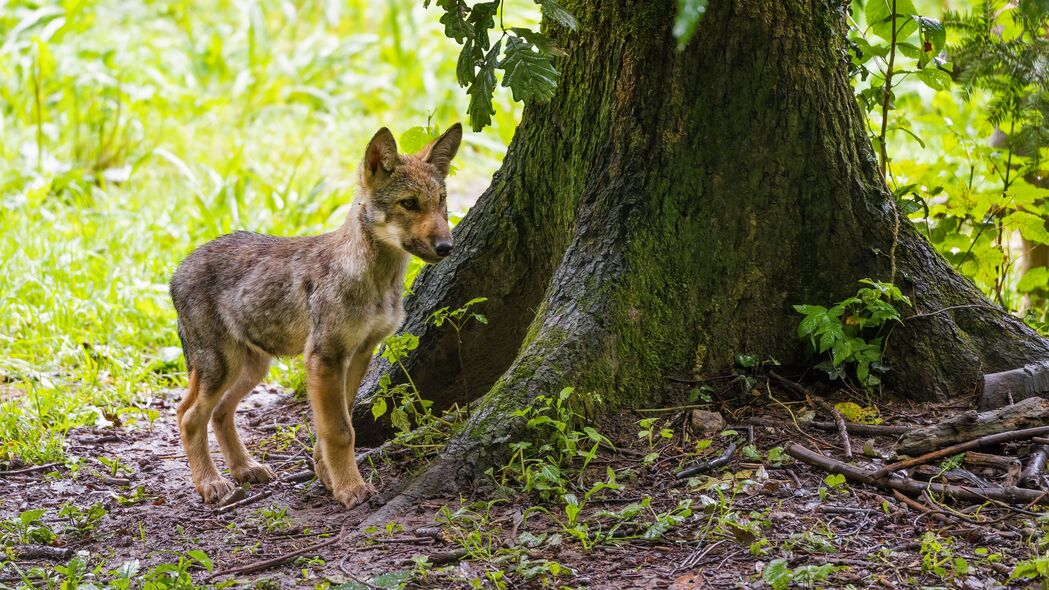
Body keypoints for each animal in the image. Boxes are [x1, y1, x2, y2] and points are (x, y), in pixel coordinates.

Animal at [169, 122, 461, 506]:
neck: (376, 281)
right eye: (409, 204)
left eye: (441, 202)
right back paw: (211, 483)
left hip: (251, 367)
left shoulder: (359, 354)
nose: (447, 247)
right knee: (188, 416)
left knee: (218, 413)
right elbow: (339, 430)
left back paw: (245, 469)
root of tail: (178, 269)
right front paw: (351, 488)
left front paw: (328, 477)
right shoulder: (324, 357)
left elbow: (336, 426)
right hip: (222, 366)